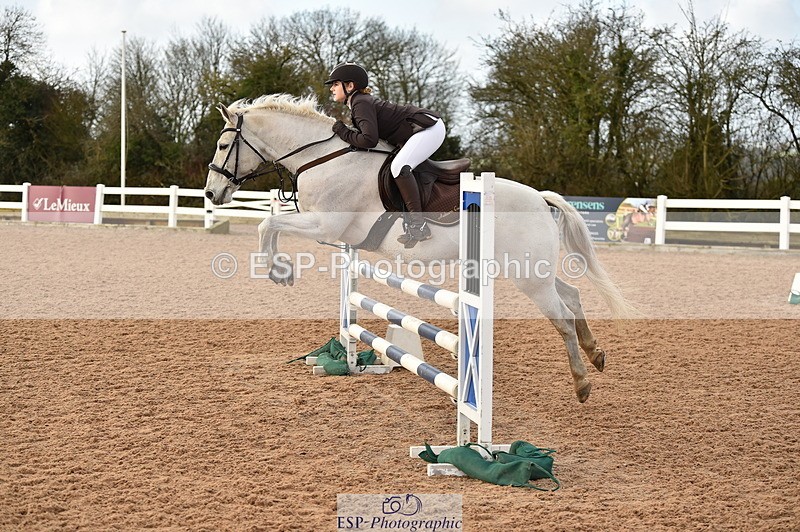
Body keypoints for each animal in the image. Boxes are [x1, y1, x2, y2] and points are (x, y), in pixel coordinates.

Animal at [204, 94, 637, 403]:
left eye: (224, 144)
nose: (212, 193)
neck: (323, 158)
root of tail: (541, 199)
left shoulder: (325, 224)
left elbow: (267, 223)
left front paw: (280, 272)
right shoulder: (331, 231)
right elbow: (272, 222)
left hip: (528, 275)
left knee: (561, 316)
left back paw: (582, 383)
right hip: (529, 270)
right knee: (573, 294)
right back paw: (596, 354)